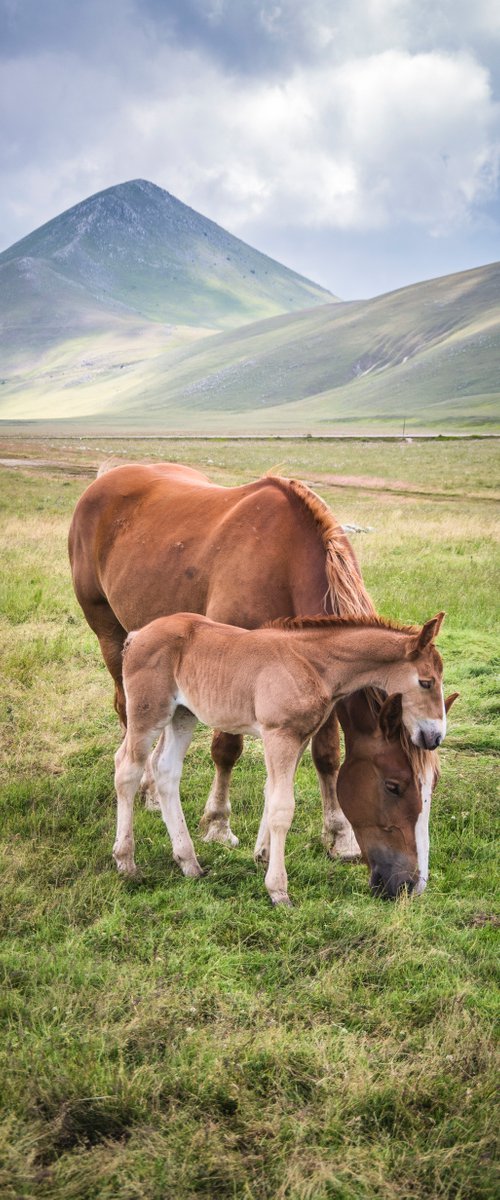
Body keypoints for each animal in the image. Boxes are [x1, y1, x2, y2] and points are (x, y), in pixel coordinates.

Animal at [68, 458, 376, 864]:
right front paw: (217, 823)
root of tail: (108, 476)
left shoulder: (319, 678)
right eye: (397, 784)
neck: (284, 559)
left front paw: (340, 835)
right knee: (129, 719)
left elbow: (327, 754)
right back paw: (146, 789)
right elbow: (227, 750)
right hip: (111, 636)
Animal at [112, 609, 443, 902]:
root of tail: (138, 634)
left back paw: (189, 862)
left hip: (183, 714)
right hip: (148, 712)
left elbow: (271, 795)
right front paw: (278, 890)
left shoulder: (299, 738)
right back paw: (126, 862)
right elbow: (283, 808)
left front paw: (263, 856)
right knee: (127, 768)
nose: (435, 736)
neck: (314, 664)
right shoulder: (279, 735)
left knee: (165, 769)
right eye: (426, 682)